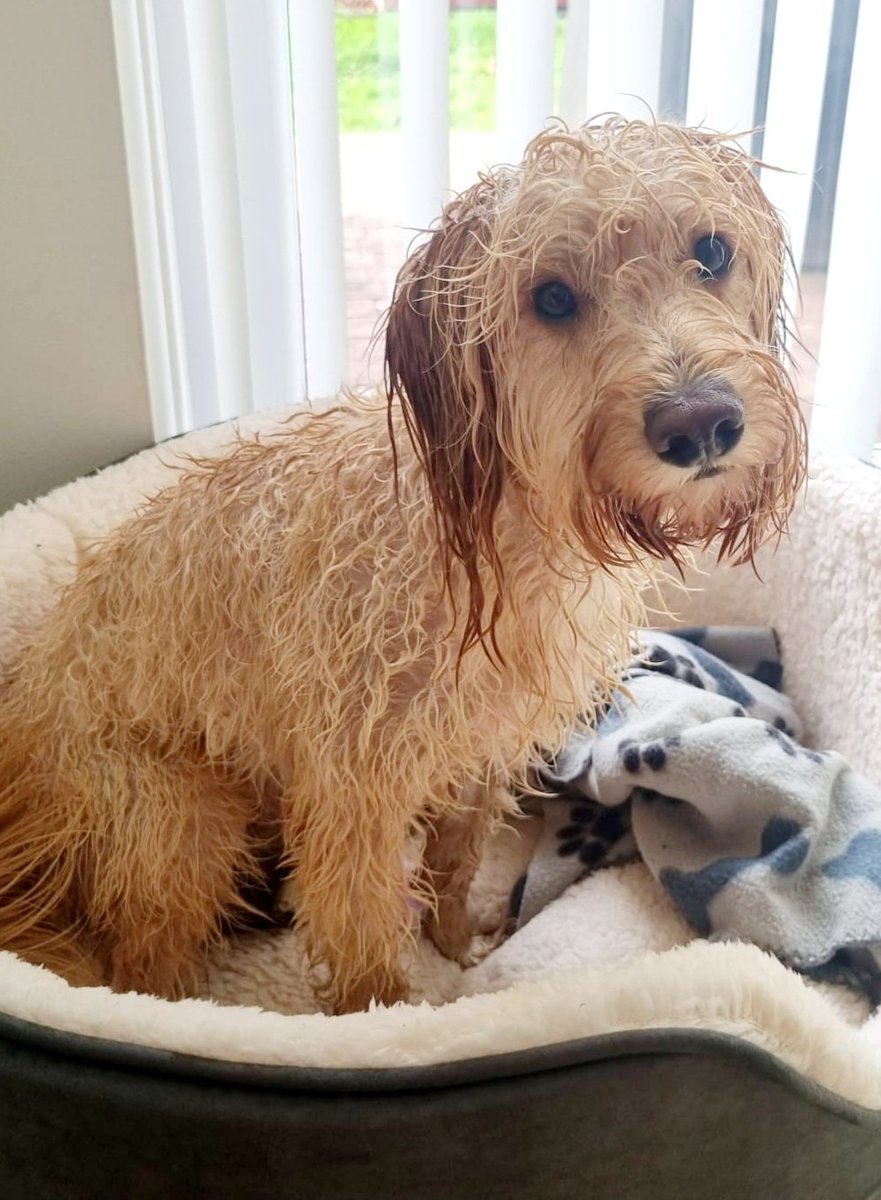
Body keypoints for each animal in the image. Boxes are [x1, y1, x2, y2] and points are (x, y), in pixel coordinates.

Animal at [0, 119, 806, 1012]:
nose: (698, 424)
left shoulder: (480, 754)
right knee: (143, 972)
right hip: (183, 823)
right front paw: (383, 1015)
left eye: (711, 251)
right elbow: (362, 944)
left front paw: (454, 947)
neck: (496, 535)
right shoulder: (354, 796)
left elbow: (453, 865)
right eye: (550, 298)